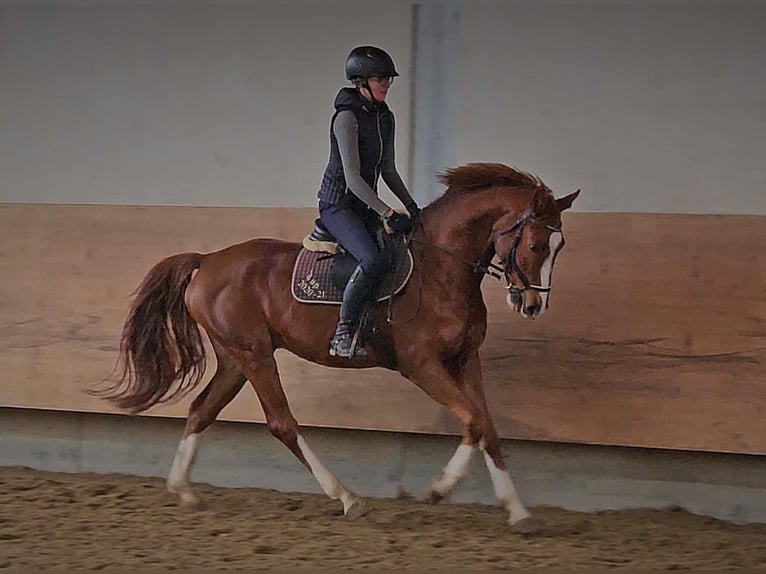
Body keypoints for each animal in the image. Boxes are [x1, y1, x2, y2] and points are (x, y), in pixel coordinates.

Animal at [91, 163, 584, 536]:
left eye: (560, 246)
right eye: (535, 243)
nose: (533, 305)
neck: (441, 269)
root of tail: (208, 260)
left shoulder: (466, 360)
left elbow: (488, 427)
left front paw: (519, 513)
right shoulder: (422, 364)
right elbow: (473, 421)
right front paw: (439, 489)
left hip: (235, 358)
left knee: (201, 410)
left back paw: (183, 490)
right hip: (255, 355)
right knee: (281, 424)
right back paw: (347, 498)